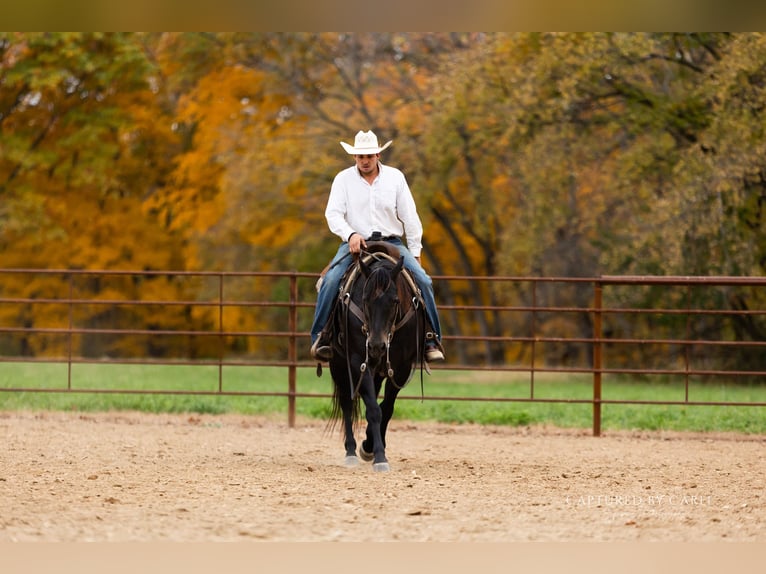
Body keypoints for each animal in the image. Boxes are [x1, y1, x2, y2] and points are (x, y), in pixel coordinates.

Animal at [325, 241, 426, 472]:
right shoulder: (357, 362)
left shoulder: (401, 367)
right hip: (338, 365)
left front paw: (370, 446)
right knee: (346, 403)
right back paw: (351, 452)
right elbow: (373, 410)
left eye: (395, 300)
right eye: (364, 299)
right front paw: (379, 456)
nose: (376, 345)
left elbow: (386, 408)